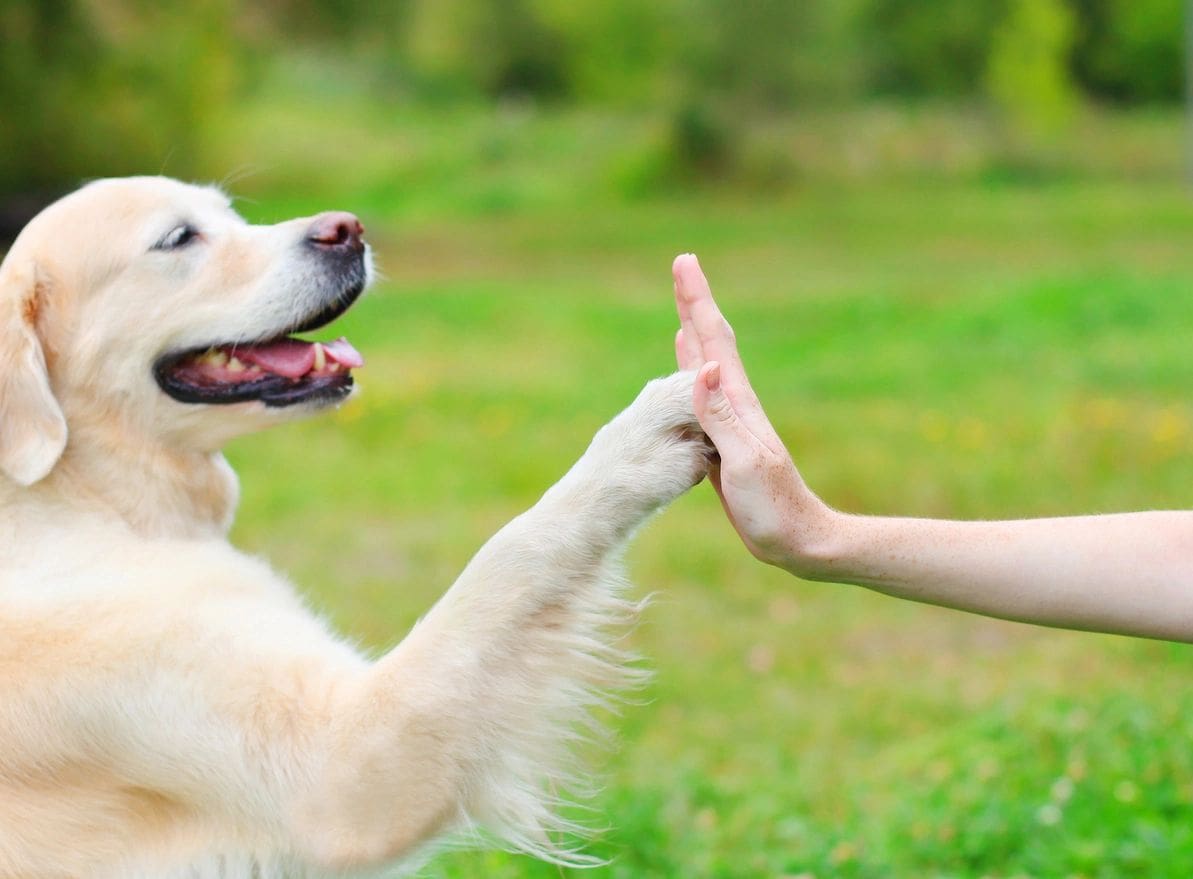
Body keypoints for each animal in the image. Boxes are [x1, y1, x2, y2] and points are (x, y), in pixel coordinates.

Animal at [0, 175, 706, 873]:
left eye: (231, 215)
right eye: (177, 238)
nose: (347, 230)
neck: (87, 499)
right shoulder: (340, 770)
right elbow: (512, 553)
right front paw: (644, 436)